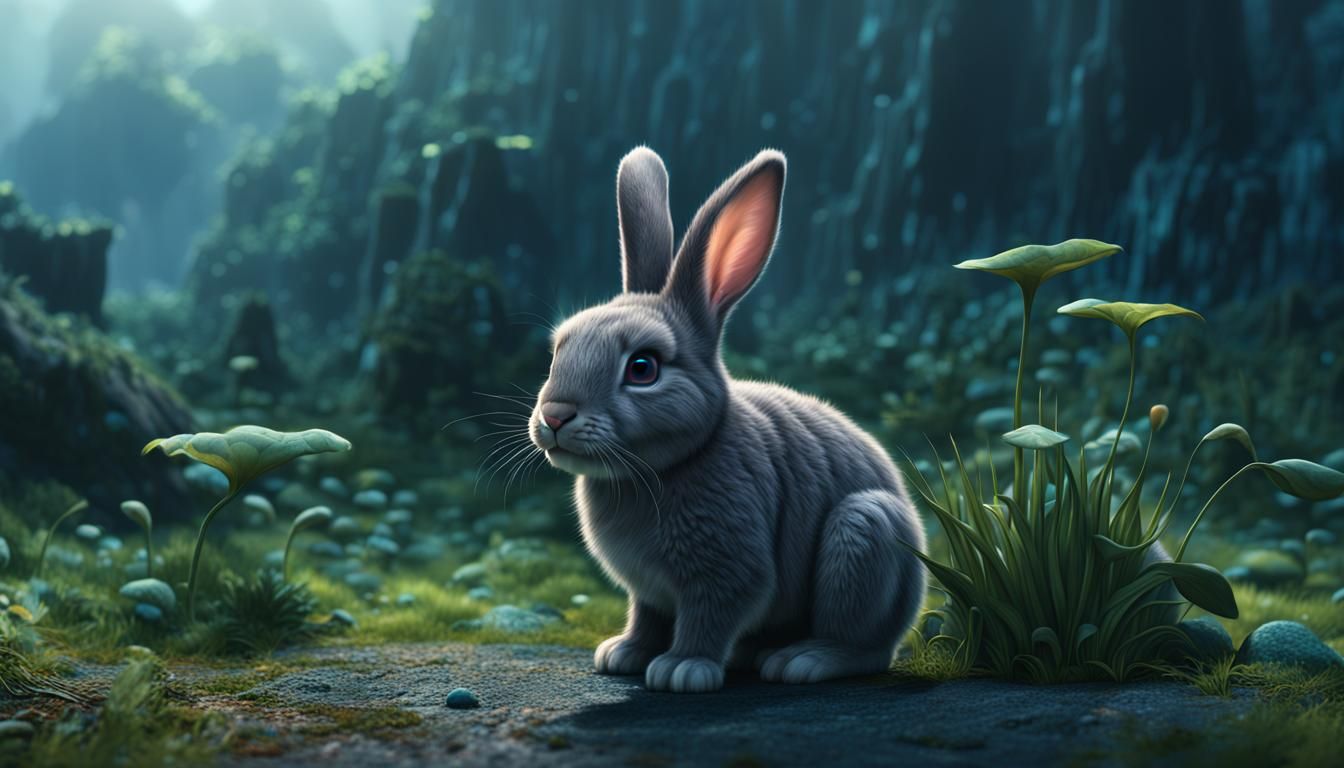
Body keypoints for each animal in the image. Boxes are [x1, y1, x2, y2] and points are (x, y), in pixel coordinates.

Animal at [529, 146, 927, 693]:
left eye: (643, 368)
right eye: (558, 351)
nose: (555, 415)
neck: (662, 467)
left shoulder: (728, 571)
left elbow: (710, 616)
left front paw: (681, 669)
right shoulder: (648, 592)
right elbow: (647, 617)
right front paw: (623, 654)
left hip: (864, 531)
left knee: (864, 646)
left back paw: (803, 661)